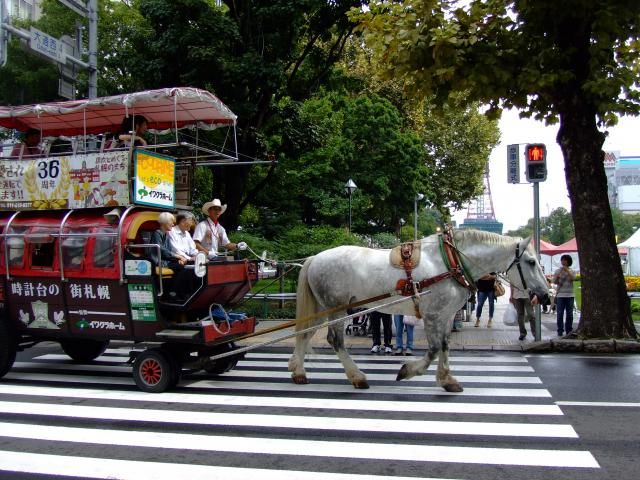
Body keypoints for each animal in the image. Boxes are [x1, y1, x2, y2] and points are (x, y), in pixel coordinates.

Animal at [288, 231, 548, 392]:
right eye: (532, 262)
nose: (545, 295)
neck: (452, 261)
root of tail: (315, 257)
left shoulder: (446, 315)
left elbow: (444, 345)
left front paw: (446, 379)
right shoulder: (433, 314)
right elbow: (433, 349)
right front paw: (408, 371)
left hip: (322, 307)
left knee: (305, 334)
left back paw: (298, 371)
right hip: (336, 308)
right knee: (335, 340)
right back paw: (357, 377)